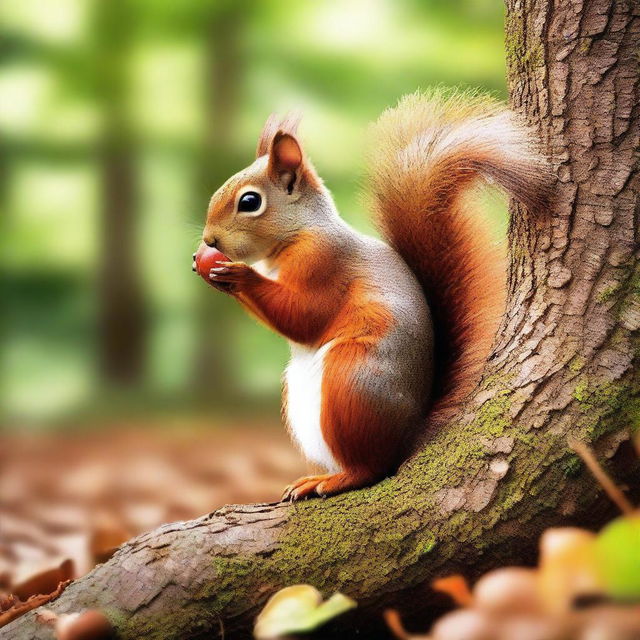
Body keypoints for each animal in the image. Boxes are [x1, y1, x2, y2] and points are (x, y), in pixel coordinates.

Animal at [196, 91, 552, 500]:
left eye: (249, 202)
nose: (209, 241)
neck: (296, 235)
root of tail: (406, 438)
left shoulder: (324, 262)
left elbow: (305, 316)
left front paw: (237, 275)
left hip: (351, 380)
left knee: (371, 469)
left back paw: (336, 479)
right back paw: (313, 479)